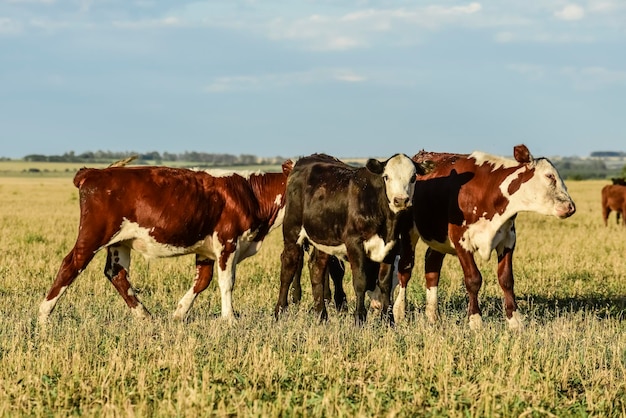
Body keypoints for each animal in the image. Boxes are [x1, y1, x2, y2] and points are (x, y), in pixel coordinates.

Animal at [37, 160, 292, 324]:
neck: (251, 194)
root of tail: (94, 172)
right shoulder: (227, 241)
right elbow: (226, 282)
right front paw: (230, 319)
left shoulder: (207, 248)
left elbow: (202, 281)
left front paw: (179, 313)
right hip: (93, 234)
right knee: (71, 264)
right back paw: (43, 315)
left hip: (120, 242)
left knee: (116, 273)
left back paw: (145, 316)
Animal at [272, 153, 428, 324]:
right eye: (386, 177)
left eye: (413, 177)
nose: (400, 200)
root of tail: (305, 159)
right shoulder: (355, 244)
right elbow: (360, 281)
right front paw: (359, 318)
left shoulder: (391, 247)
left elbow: (384, 282)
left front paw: (389, 320)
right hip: (292, 232)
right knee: (288, 268)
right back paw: (279, 312)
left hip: (324, 239)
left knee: (316, 269)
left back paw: (322, 315)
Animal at [392, 144, 576, 330]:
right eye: (549, 176)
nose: (570, 207)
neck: (489, 192)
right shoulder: (461, 240)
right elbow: (473, 279)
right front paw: (475, 320)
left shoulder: (508, 240)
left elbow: (506, 279)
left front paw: (514, 320)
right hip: (408, 232)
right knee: (405, 269)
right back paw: (399, 312)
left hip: (438, 237)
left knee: (432, 266)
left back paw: (432, 315)